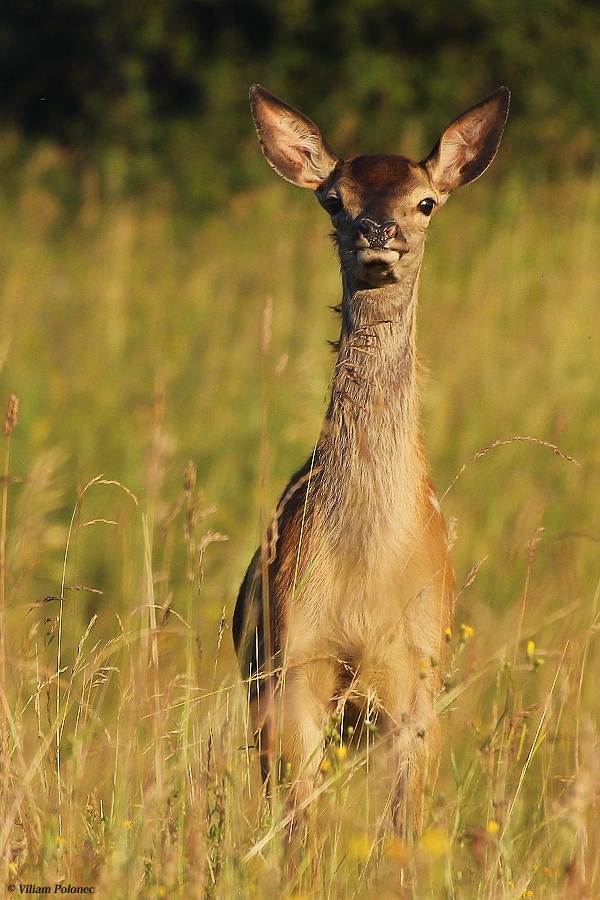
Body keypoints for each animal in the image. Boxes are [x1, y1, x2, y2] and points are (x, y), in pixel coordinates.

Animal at [232, 81, 508, 840]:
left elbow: (404, 832)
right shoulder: (293, 662)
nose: (376, 233)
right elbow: (298, 827)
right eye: (334, 198)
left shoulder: (414, 677)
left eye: (427, 201)